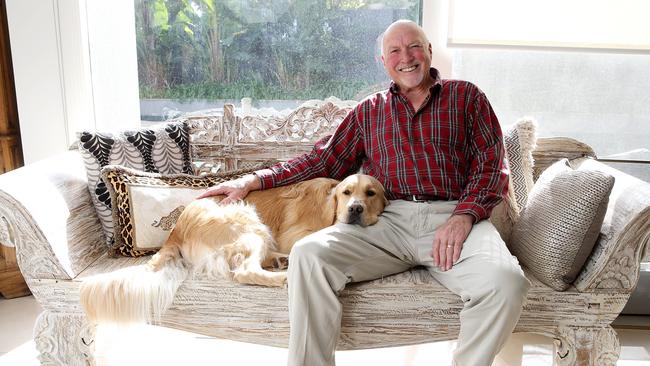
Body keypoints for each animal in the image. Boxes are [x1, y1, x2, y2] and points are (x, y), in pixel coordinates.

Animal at [79, 174, 384, 324]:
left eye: (371, 193)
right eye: (346, 193)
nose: (355, 209)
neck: (329, 202)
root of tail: (176, 229)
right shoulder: (298, 233)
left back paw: (280, 261)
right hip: (247, 221)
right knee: (246, 271)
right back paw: (284, 274)